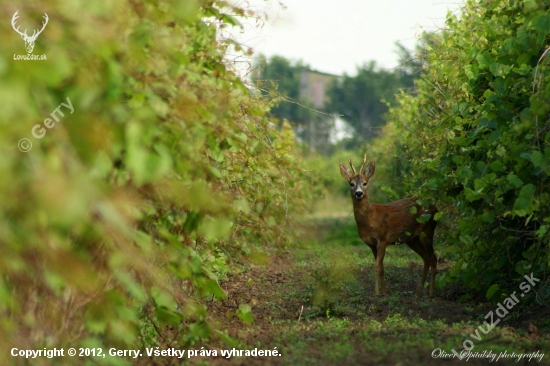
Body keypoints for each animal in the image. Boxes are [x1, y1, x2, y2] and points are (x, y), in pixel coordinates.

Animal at [340, 156, 440, 296]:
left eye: (365, 183)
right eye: (351, 184)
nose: (359, 193)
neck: (369, 218)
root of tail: (436, 208)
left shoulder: (383, 239)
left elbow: (377, 266)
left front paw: (377, 293)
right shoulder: (371, 244)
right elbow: (381, 267)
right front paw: (385, 292)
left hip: (428, 231)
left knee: (433, 259)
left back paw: (430, 293)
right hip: (412, 239)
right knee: (426, 258)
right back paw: (418, 292)